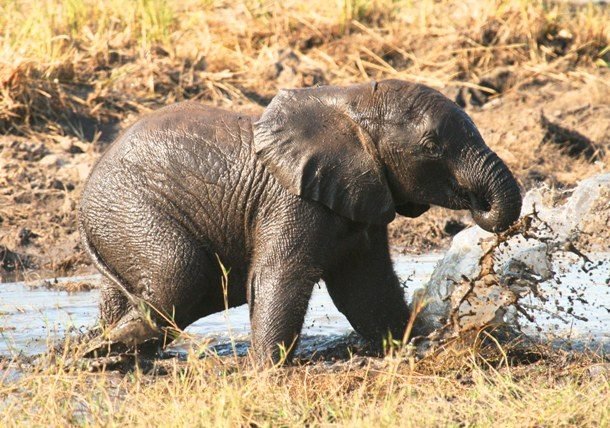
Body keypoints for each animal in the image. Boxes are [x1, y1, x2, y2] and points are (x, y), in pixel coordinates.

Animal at [79, 78, 516, 362]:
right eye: (431, 146)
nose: (476, 207)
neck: (351, 103)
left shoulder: (361, 201)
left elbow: (367, 291)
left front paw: (418, 344)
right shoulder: (291, 199)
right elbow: (279, 276)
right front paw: (266, 372)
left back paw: (108, 353)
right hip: (131, 208)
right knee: (180, 273)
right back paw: (101, 349)